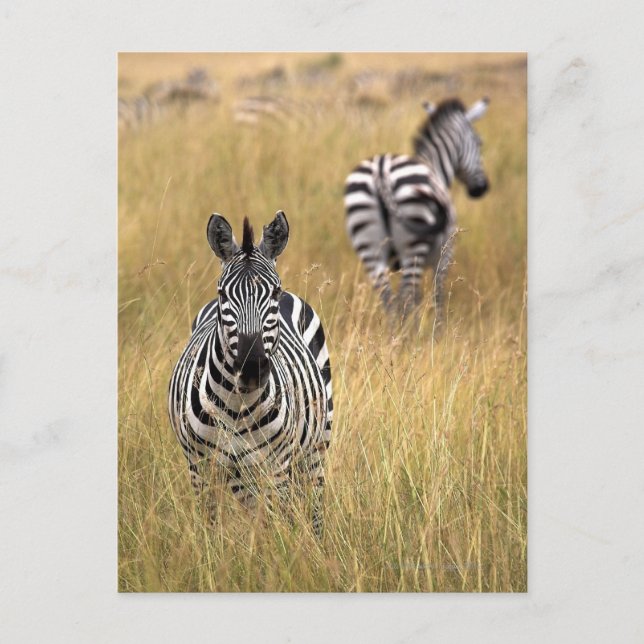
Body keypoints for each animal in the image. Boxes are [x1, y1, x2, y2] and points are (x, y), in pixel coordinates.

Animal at [168, 211, 333, 537]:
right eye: (222, 294)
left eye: (274, 292)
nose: (252, 367)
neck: (237, 405)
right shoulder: (199, 467)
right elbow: (211, 528)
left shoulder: (276, 466)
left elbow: (274, 527)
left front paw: (277, 550)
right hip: (239, 473)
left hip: (317, 444)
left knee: (314, 502)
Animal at [344, 97, 490, 330]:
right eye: (479, 142)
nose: (481, 188)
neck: (435, 167)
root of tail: (381, 170)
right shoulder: (444, 255)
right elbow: (437, 296)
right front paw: (438, 333)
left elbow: (420, 298)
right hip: (413, 247)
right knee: (405, 298)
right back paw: (406, 335)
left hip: (369, 246)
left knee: (389, 299)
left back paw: (393, 336)